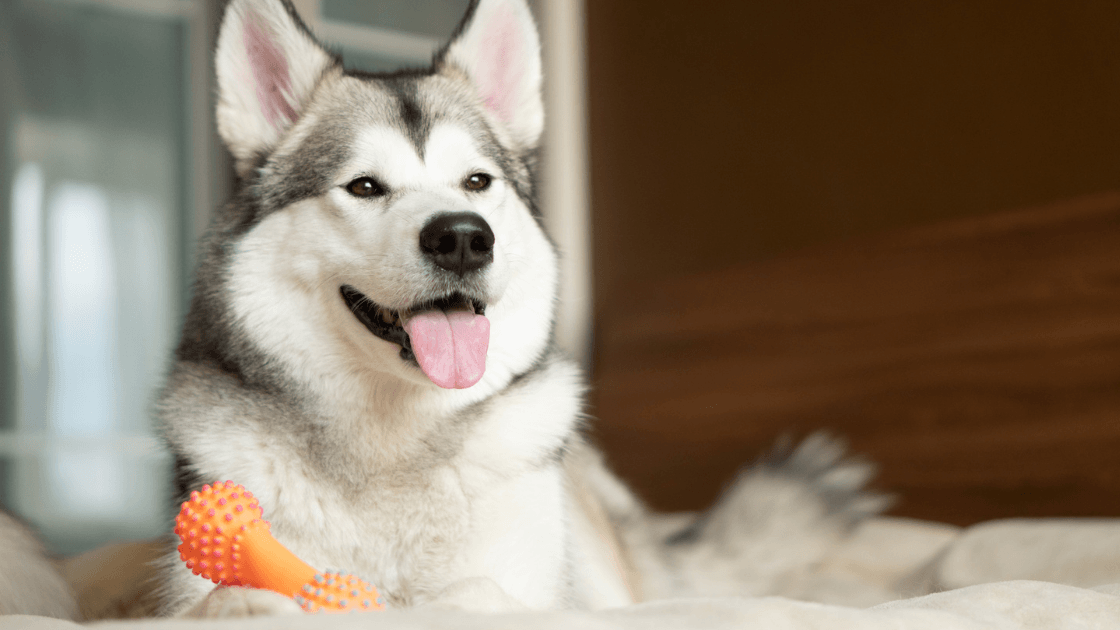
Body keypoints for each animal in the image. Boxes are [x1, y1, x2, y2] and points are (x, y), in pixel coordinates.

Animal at [153, 0, 882, 614]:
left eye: (477, 182)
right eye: (363, 187)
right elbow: (228, 600)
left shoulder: (537, 587)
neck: (396, 445)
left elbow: (475, 593)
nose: (462, 237)